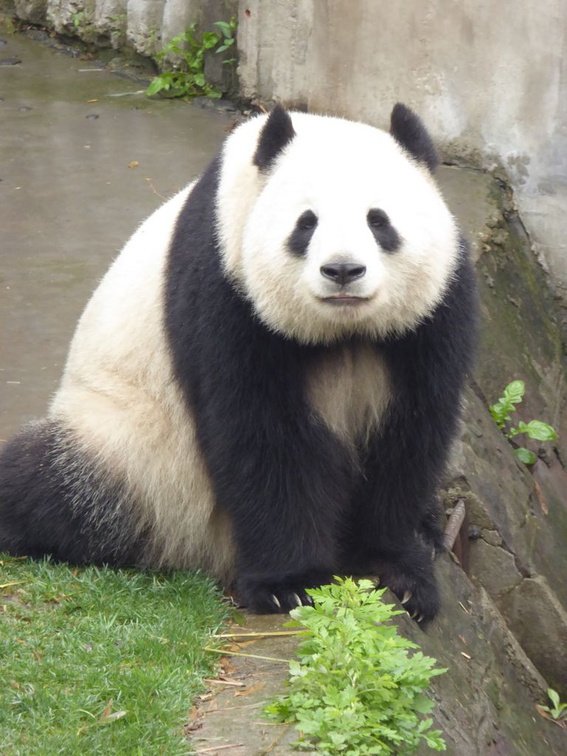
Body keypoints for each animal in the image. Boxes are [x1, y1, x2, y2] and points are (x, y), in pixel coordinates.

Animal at [0, 103, 480, 624]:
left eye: (379, 221)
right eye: (306, 223)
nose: (342, 271)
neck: (342, 332)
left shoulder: (430, 315)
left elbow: (411, 434)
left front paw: (401, 569)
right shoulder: (228, 289)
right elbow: (262, 435)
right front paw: (290, 585)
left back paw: (431, 528)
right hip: (131, 453)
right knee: (51, 486)